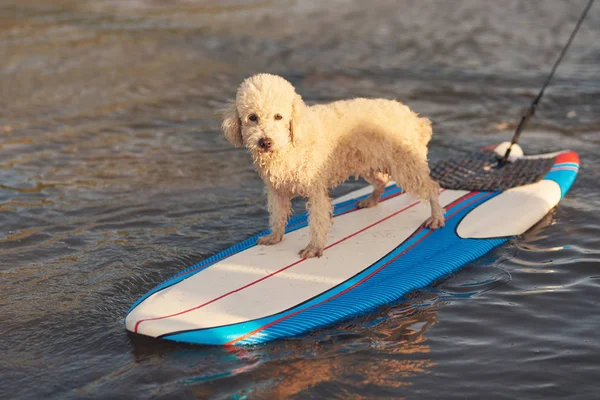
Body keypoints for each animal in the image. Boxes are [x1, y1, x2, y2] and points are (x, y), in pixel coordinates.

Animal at [221, 73, 446, 258]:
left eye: (279, 116)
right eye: (252, 117)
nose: (265, 142)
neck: (291, 143)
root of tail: (416, 120)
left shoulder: (316, 190)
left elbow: (318, 219)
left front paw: (314, 249)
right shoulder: (276, 189)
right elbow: (277, 215)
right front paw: (274, 237)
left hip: (405, 166)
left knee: (432, 187)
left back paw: (436, 218)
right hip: (367, 161)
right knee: (381, 181)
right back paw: (371, 200)